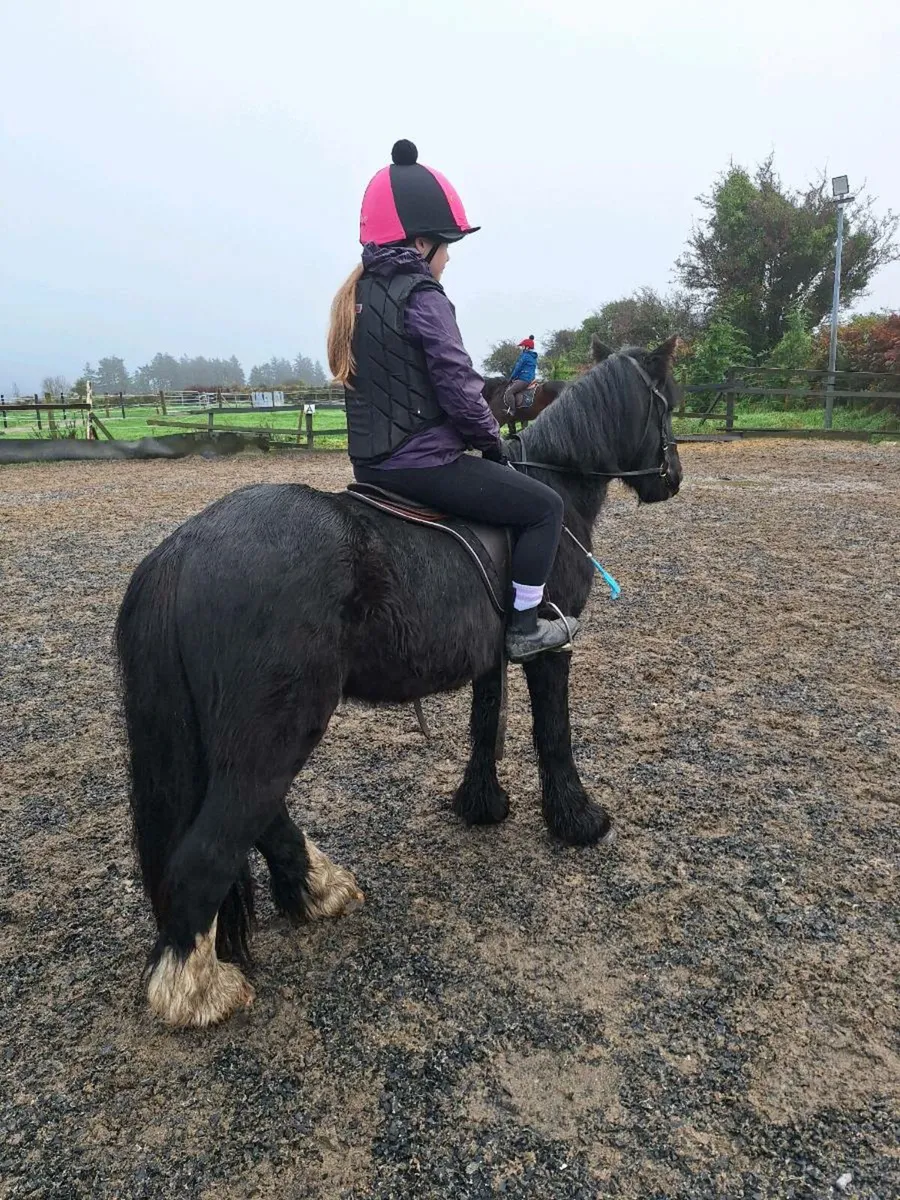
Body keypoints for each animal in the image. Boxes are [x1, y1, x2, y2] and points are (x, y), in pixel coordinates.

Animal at [115, 335, 683, 1027]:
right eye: (666, 402)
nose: (672, 478)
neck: (554, 486)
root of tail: (183, 548)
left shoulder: (489, 659)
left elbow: (485, 727)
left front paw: (481, 805)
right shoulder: (553, 649)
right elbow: (554, 735)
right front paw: (579, 820)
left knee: (260, 816)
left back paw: (318, 890)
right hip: (280, 724)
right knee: (214, 844)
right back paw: (198, 990)